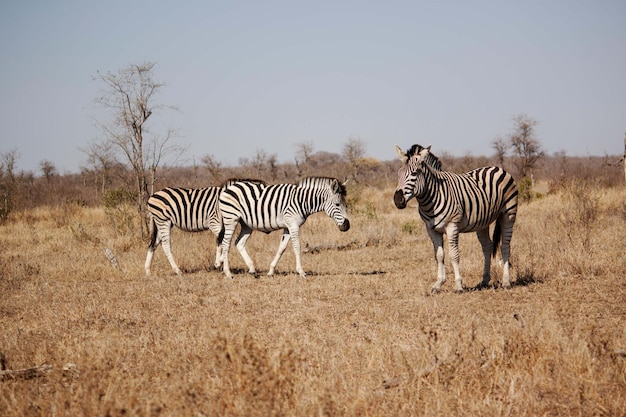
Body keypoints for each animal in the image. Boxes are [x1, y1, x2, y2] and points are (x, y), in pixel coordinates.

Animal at [217, 176, 348, 280]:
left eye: (346, 205)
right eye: (337, 204)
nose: (347, 226)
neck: (302, 201)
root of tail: (228, 188)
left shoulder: (288, 227)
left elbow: (282, 248)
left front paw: (271, 271)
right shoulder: (293, 225)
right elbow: (297, 247)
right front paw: (301, 272)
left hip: (246, 225)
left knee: (239, 243)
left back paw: (252, 270)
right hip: (231, 219)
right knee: (226, 244)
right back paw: (228, 273)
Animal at [390, 145, 516, 290]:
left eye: (415, 173)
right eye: (398, 174)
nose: (397, 200)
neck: (431, 198)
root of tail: (498, 168)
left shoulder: (452, 226)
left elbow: (453, 255)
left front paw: (458, 285)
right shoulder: (431, 229)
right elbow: (439, 255)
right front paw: (438, 283)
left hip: (508, 215)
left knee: (505, 246)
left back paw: (506, 282)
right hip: (483, 222)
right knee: (487, 246)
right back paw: (484, 280)